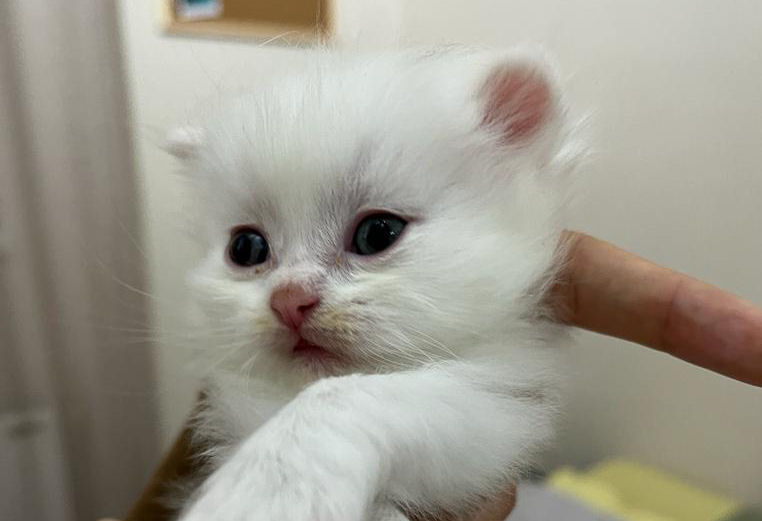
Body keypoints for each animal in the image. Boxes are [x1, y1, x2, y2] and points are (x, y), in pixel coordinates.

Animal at [166, 46, 581, 521]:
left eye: (377, 233)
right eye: (246, 248)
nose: (289, 300)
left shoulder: (494, 407)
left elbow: (343, 395)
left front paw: (264, 493)